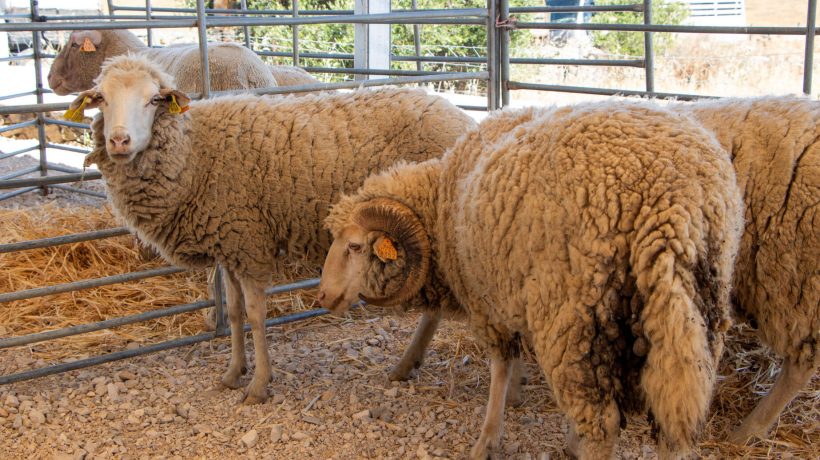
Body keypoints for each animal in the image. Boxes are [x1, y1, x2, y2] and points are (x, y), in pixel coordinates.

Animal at [72, 54, 476, 404]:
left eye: (154, 99)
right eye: (101, 99)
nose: (119, 141)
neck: (194, 154)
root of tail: (463, 119)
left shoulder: (248, 242)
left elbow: (256, 314)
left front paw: (258, 385)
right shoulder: (229, 243)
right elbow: (235, 312)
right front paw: (233, 372)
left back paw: (407, 362)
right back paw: (408, 364)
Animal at [317, 101, 743, 459]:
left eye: (354, 246)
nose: (322, 296)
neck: (441, 205)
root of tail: (671, 204)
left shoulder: (487, 299)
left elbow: (501, 366)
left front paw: (489, 436)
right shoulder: (509, 286)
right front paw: (520, 396)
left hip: (575, 314)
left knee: (600, 424)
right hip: (696, 315)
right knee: (672, 423)